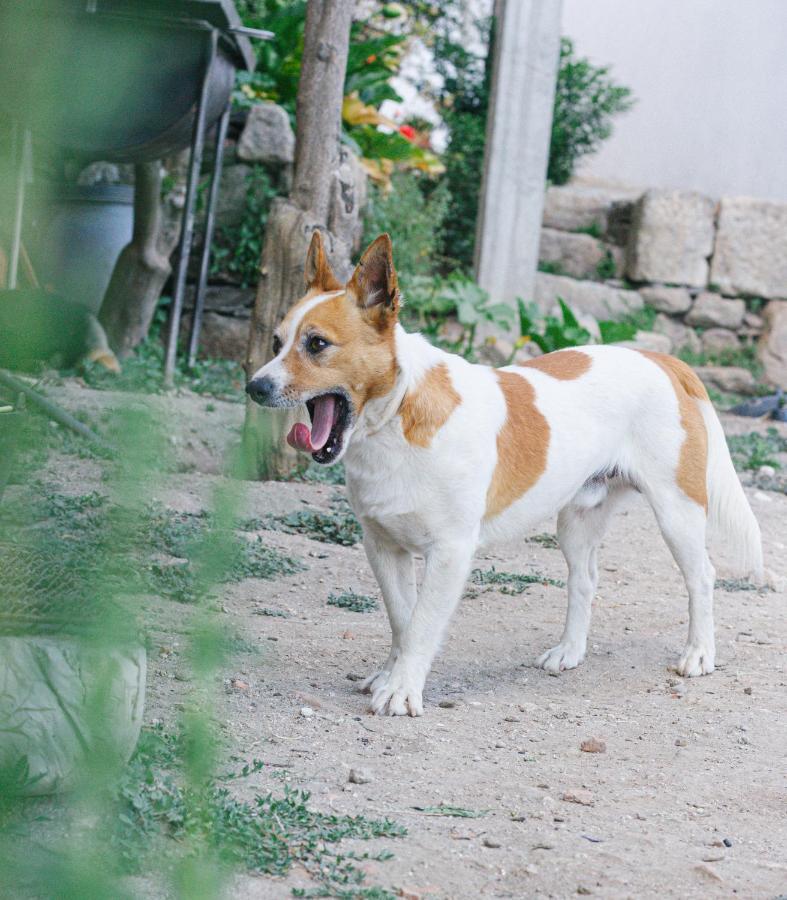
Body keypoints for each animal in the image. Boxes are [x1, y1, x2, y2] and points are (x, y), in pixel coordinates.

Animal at [246, 232, 764, 716]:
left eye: (317, 344)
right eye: (275, 343)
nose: (254, 387)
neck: (399, 414)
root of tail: (660, 360)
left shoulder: (450, 553)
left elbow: (421, 627)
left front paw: (401, 690)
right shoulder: (383, 548)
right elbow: (402, 620)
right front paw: (391, 675)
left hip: (678, 513)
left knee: (702, 577)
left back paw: (699, 654)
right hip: (576, 522)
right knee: (585, 580)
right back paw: (569, 652)